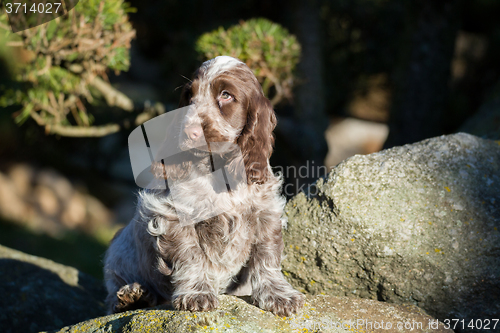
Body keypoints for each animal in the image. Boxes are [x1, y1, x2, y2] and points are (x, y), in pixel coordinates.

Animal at [104, 55, 304, 316]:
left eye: (226, 95)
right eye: (189, 96)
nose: (190, 132)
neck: (219, 169)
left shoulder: (265, 212)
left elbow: (266, 256)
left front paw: (278, 295)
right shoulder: (173, 214)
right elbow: (191, 255)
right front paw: (197, 293)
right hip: (117, 251)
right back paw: (133, 296)